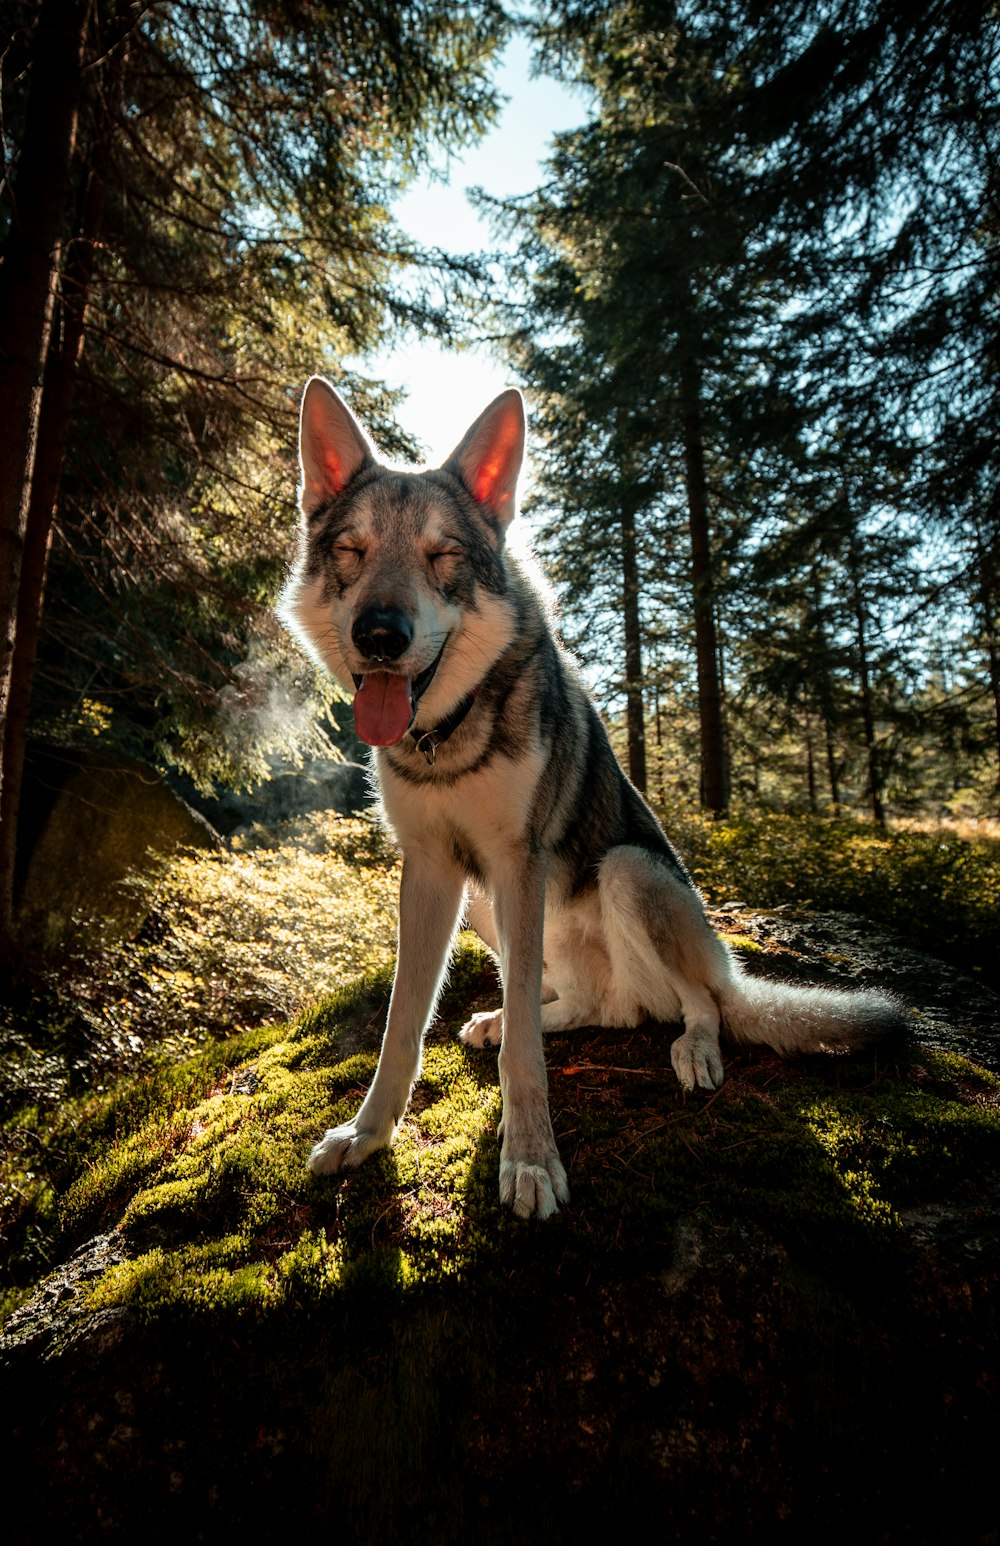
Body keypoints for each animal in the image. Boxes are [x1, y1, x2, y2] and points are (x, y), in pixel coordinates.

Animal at [278, 377, 902, 1218]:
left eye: (443, 557)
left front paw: (530, 1161)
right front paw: (367, 1134)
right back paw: (502, 1019)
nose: (380, 634)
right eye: (352, 552)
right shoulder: (433, 869)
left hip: (626, 871)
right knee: (587, 1009)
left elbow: (522, 1061)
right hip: (489, 906)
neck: (447, 738)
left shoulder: (518, 862)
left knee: (698, 1006)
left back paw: (692, 1049)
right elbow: (403, 1027)